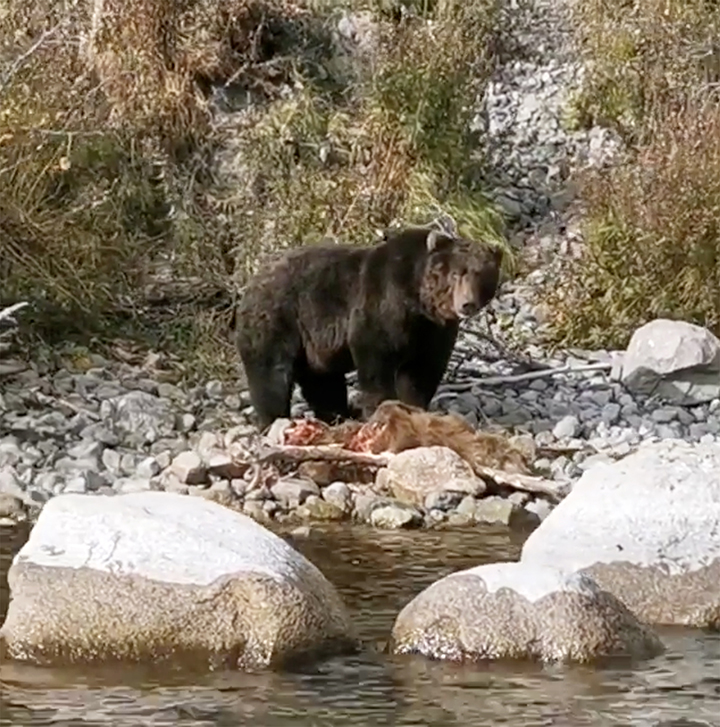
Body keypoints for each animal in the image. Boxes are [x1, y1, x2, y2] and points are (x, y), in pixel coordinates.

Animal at [235, 226, 500, 432]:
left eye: (481, 276)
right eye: (455, 274)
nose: (466, 304)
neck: (417, 300)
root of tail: (252, 280)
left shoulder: (433, 332)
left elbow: (422, 370)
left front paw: (414, 406)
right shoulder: (383, 304)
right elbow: (376, 359)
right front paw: (380, 406)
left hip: (312, 345)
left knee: (322, 381)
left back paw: (336, 415)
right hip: (282, 317)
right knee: (271, 372)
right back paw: (273, 420)